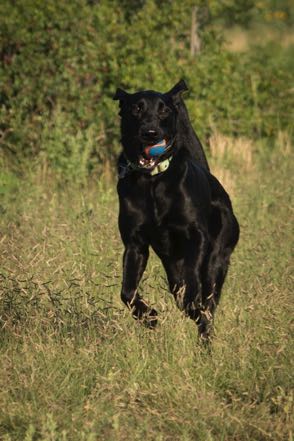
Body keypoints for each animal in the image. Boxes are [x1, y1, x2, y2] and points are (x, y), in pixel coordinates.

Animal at [112, 80, 239, 340]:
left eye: (164, 110)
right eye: (136, 109)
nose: (150, 133)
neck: (152, 181)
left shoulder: (196, 236)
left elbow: (192, 284)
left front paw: (193, 304)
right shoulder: (135, 244)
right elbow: (127, 292)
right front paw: (149, 316)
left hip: (218, 256)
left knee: (208, 301)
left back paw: (204, 334)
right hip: (171, 266)